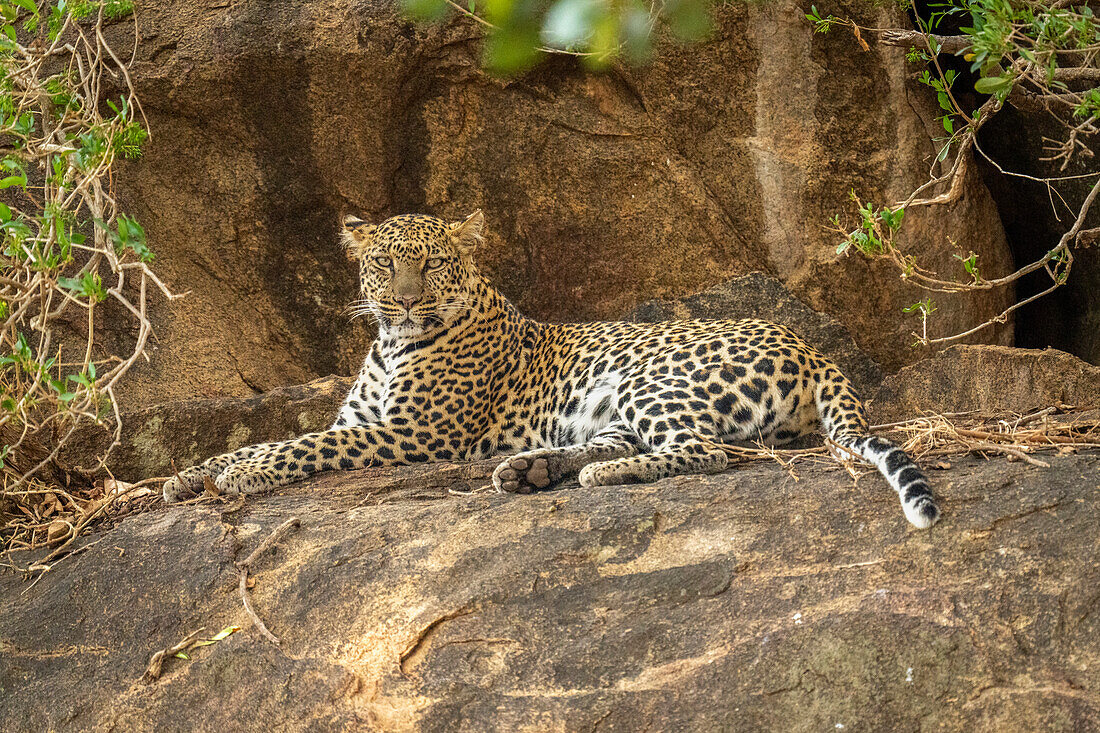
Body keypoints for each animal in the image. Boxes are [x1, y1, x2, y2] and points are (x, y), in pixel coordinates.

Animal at [159, 208, 941, 528]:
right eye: (383, 263)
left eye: (431, 264)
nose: (404, 300)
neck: (389, 342)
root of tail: (811, 347)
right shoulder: (363, 417)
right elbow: (281, 436)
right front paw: (189, 475)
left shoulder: (413, 434)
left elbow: (302, 447)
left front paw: (241, 475)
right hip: (617, 403)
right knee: (621, 443)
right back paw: (531, 469)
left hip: (652, 378)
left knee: (705, 451)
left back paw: (596, 477)